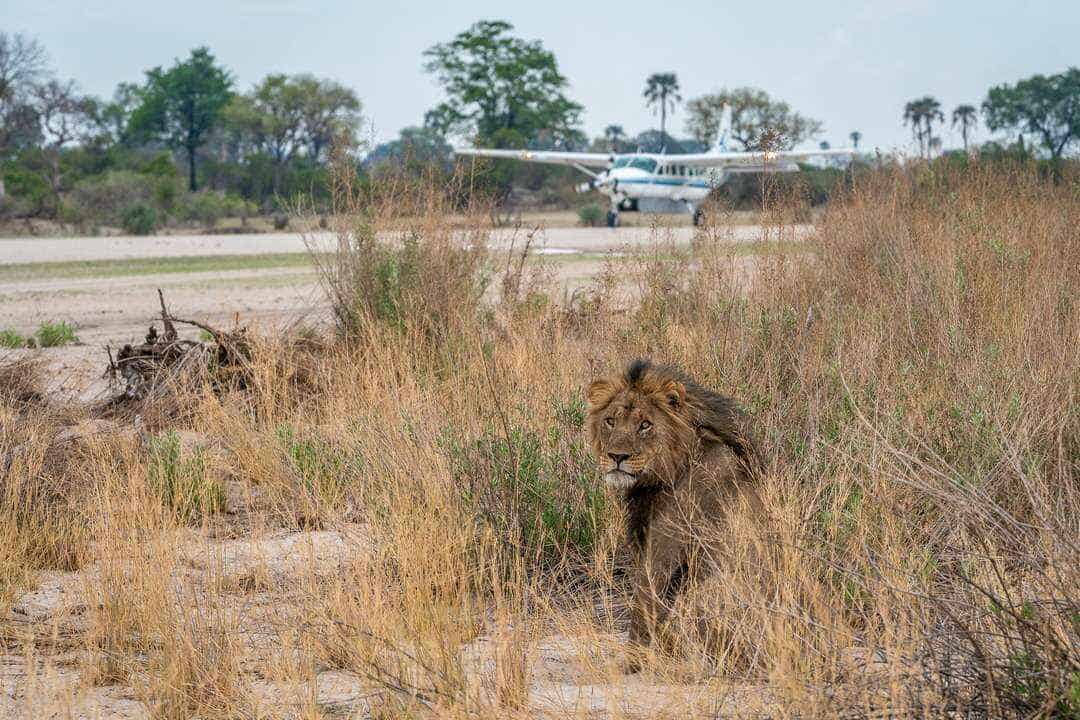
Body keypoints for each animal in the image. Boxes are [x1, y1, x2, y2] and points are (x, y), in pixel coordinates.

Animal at [585, 358, 764, 671]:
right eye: (610, 421)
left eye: (645, 425)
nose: (617, 457)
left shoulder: (663, 549)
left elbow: (643, 606)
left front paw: (631, 664)